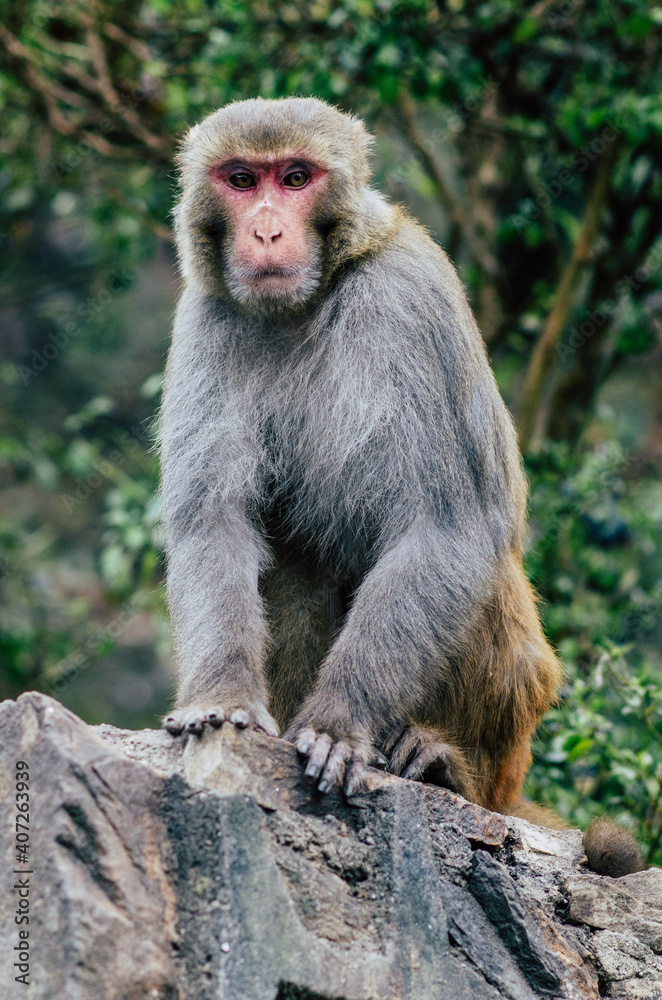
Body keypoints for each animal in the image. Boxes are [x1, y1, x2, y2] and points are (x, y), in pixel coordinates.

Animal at [156, 94, 644, 872]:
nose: (265, 228)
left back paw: (446, 765)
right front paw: (224, 696)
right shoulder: (208, 317)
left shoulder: (412, 302)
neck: (313, 297)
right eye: (241, 179)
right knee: (294, 560)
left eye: (296, 178)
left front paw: (338, 722)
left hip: (516, 731)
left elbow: (448, 527)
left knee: (472, 567)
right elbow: (215, 521)